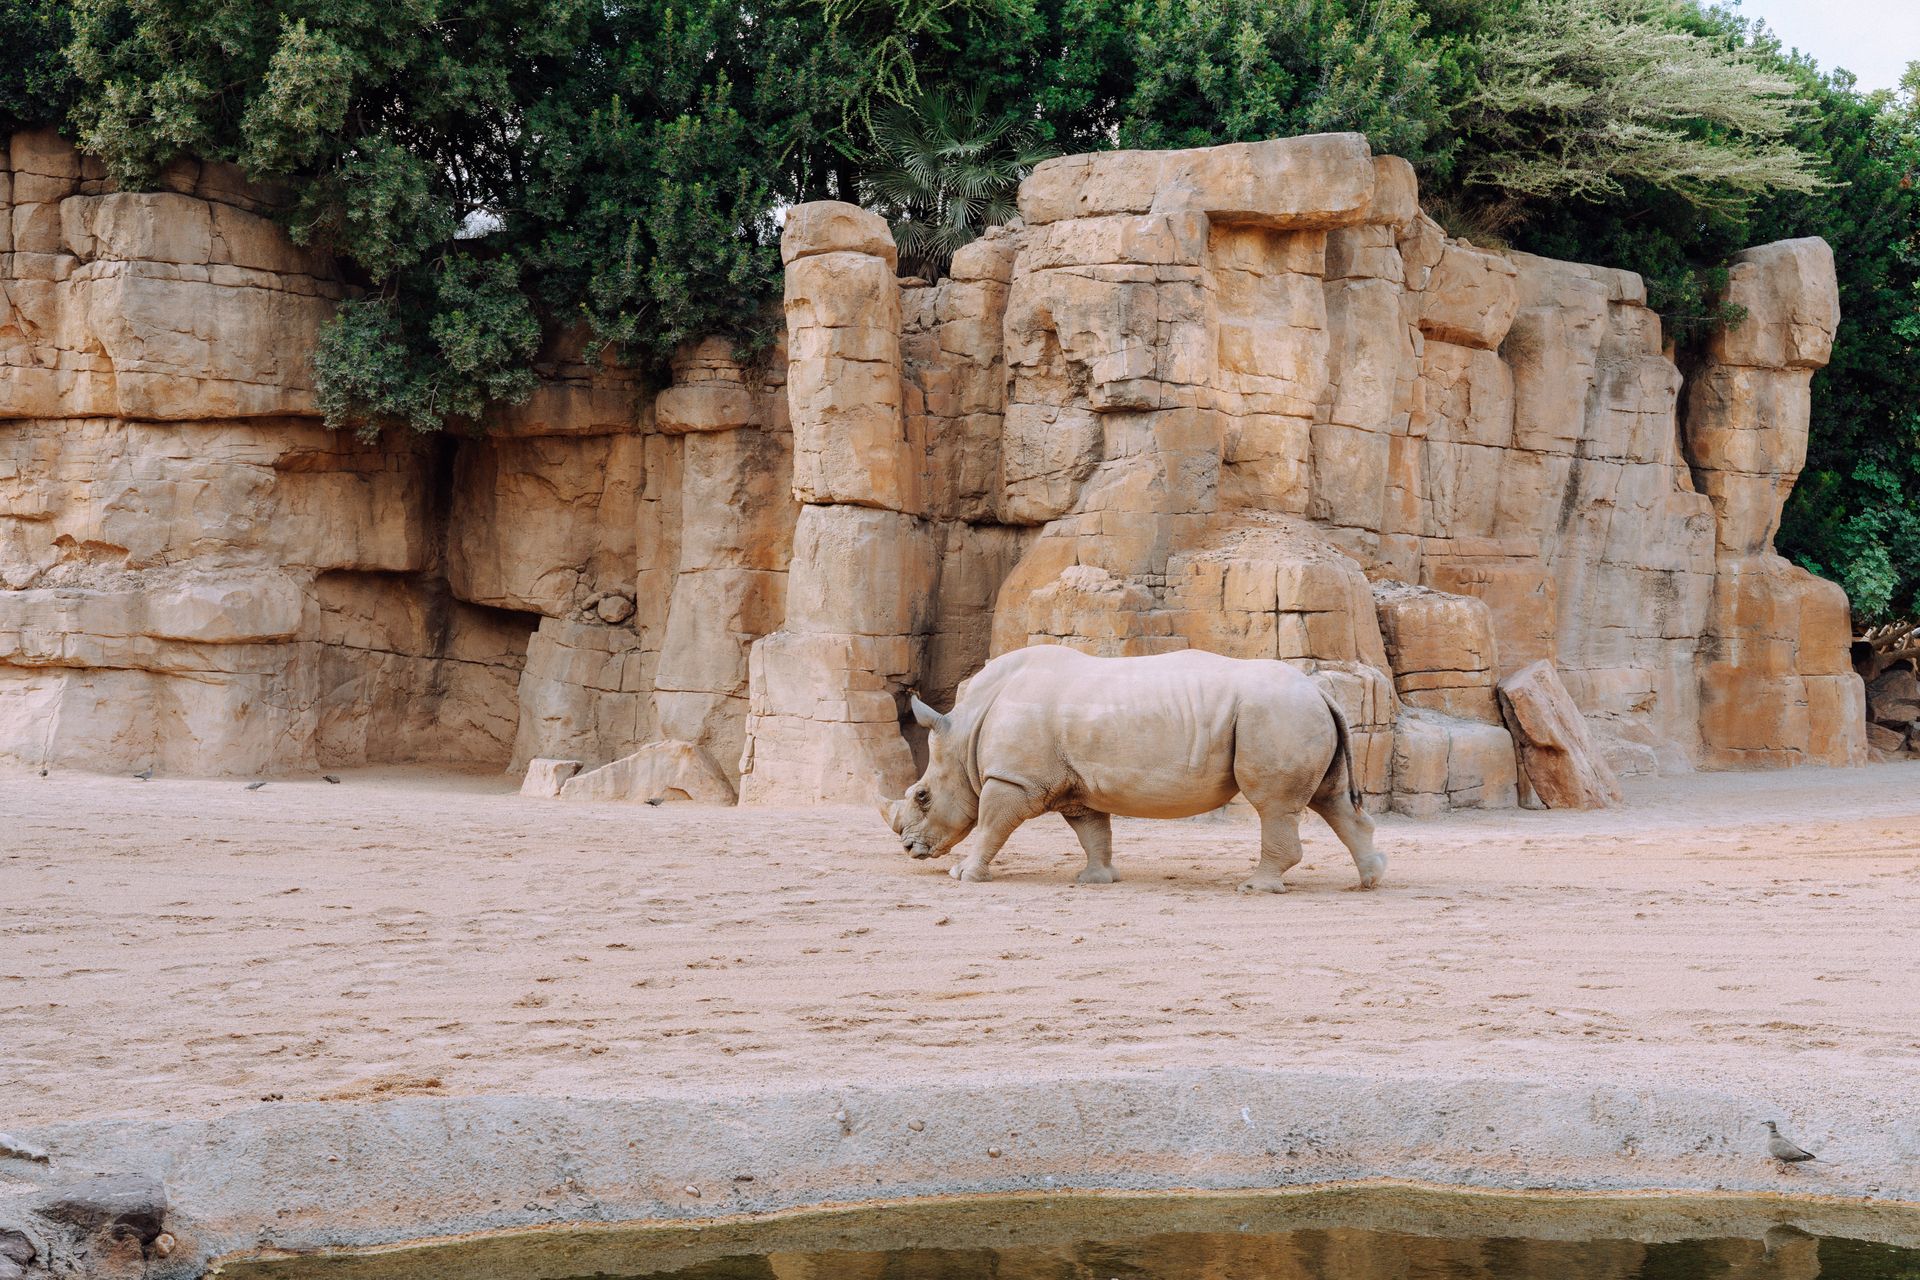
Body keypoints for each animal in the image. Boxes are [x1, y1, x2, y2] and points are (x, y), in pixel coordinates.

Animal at [880, 646, 1385, 893]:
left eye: (922, 796)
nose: (908, 849)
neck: (964, 732)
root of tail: (1320, 690)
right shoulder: (1074, 782)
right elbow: (1092, 831)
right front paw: (1095, 881)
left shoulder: (1013, 779)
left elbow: (989, 825)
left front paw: (963, 876)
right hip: (1297, 713)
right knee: (1331, 799)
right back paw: (1371, 879)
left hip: (1277, 714)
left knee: (1275, 806)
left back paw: (1255, 888)